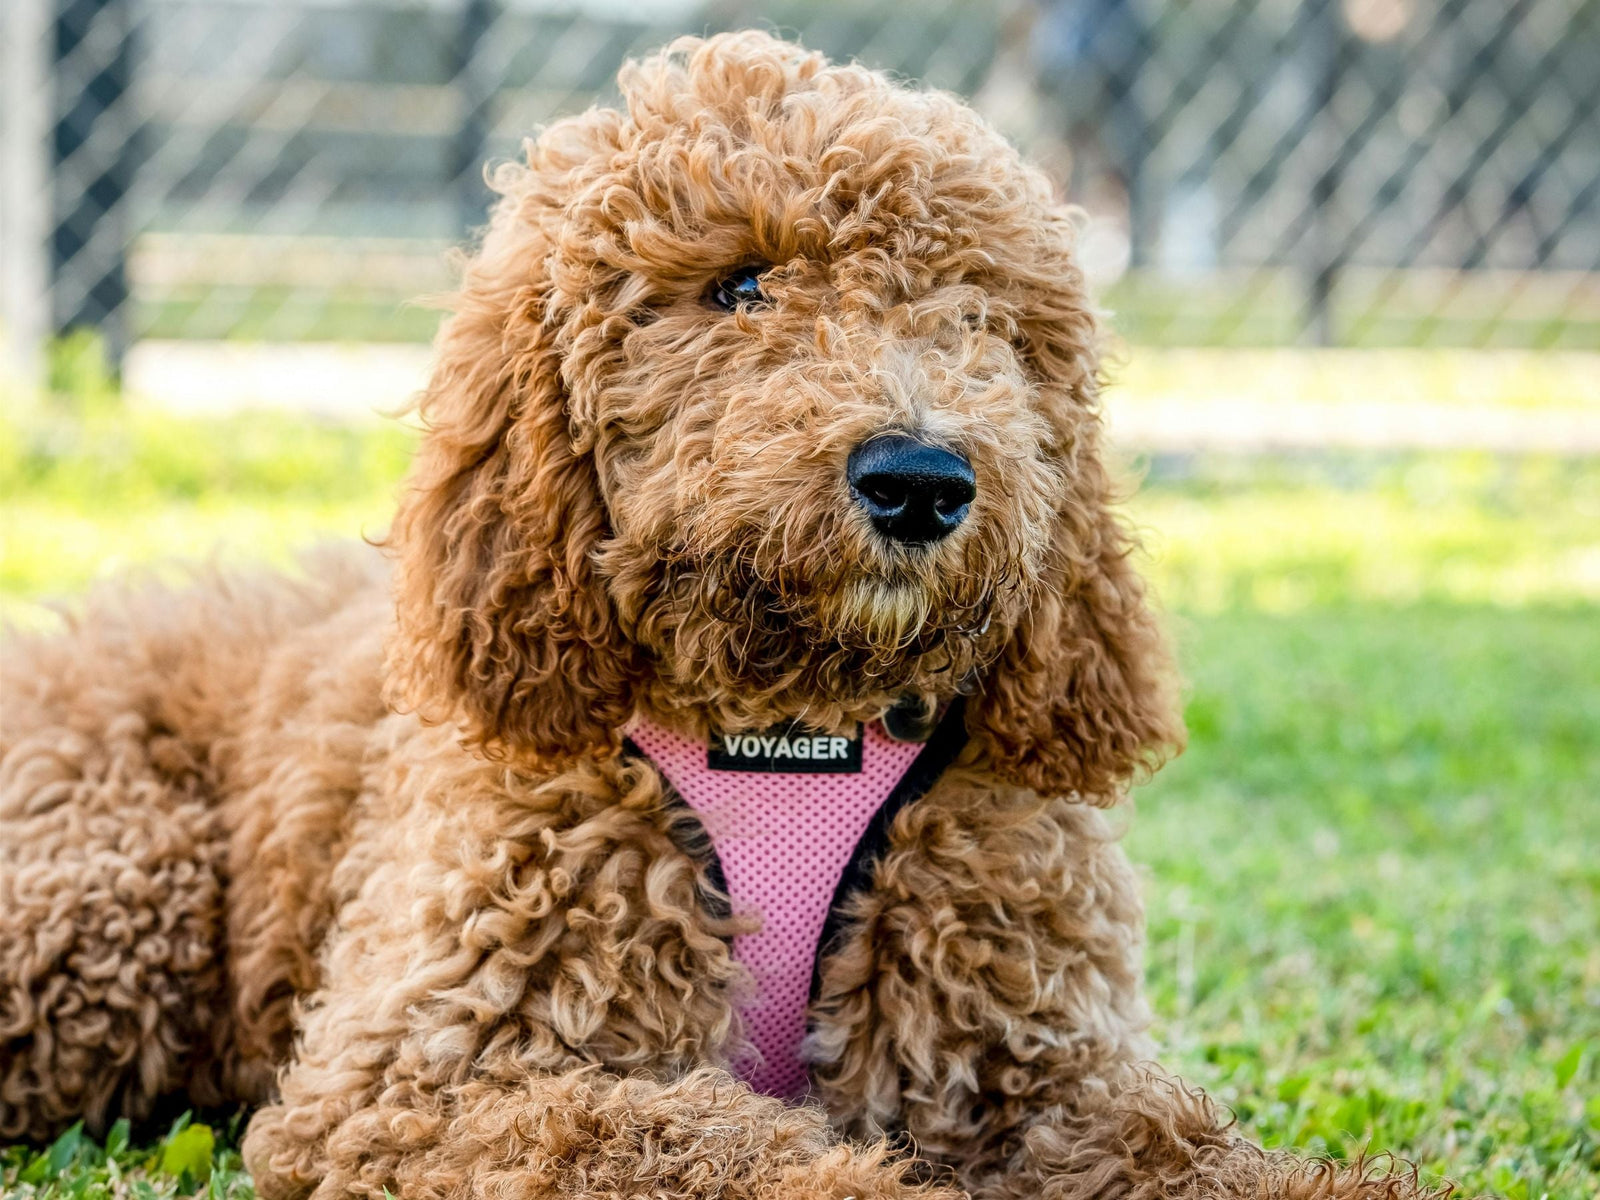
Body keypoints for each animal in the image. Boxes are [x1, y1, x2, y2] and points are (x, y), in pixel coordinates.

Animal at [0, 30, 1459, 1200]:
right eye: (741, 285)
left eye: (979, 317)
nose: (920, 479)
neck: (790, 720)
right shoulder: (431, 1081)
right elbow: (715, 1150)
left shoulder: (1031, 1070)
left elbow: (1197, 1152)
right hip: (106, 910)